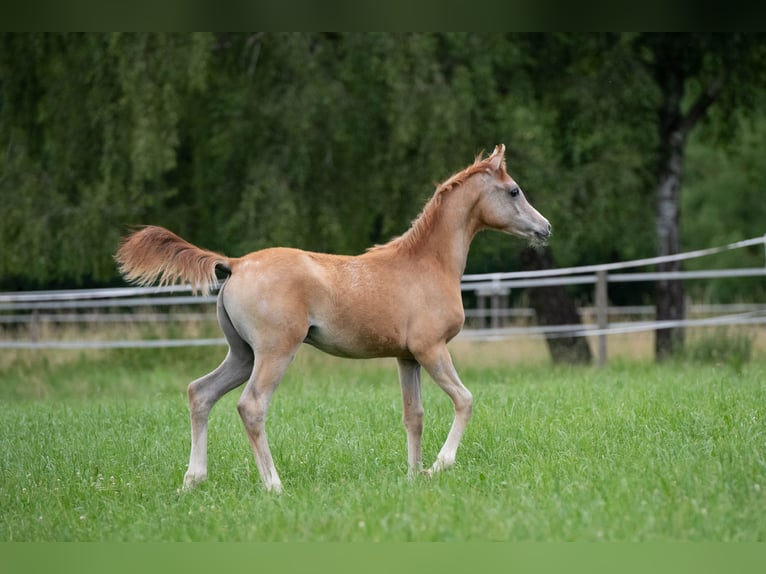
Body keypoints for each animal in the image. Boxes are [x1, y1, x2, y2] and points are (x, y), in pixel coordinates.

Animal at [114, 144, 551, 493]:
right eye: (514, 190)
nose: (545, 228)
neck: (427, 263)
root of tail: (235, 263)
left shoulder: (406, 357)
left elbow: (414, 416)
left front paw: (413, 475)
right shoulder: (431, 349)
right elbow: (464, 400)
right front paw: (438, 466)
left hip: (241, 354)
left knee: (200, 393)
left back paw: (192, 480)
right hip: (275, 352)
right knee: (251, 406)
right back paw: (273, 485)